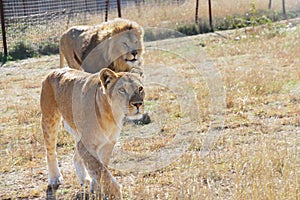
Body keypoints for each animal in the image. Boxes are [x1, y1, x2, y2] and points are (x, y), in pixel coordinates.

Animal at [40, 67, 145, 198]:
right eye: (122, 90)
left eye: (140, 88)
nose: (138, 104)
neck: (111, 115)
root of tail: (55, 70)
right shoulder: (86, 144)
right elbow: (100, 168)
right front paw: (115, 192)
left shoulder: (107, 143)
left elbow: (101, 167)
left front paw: (96, 187)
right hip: (49, 119)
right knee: (50, 151)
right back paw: (55, 179)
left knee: (76, 156)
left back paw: (84, 180)